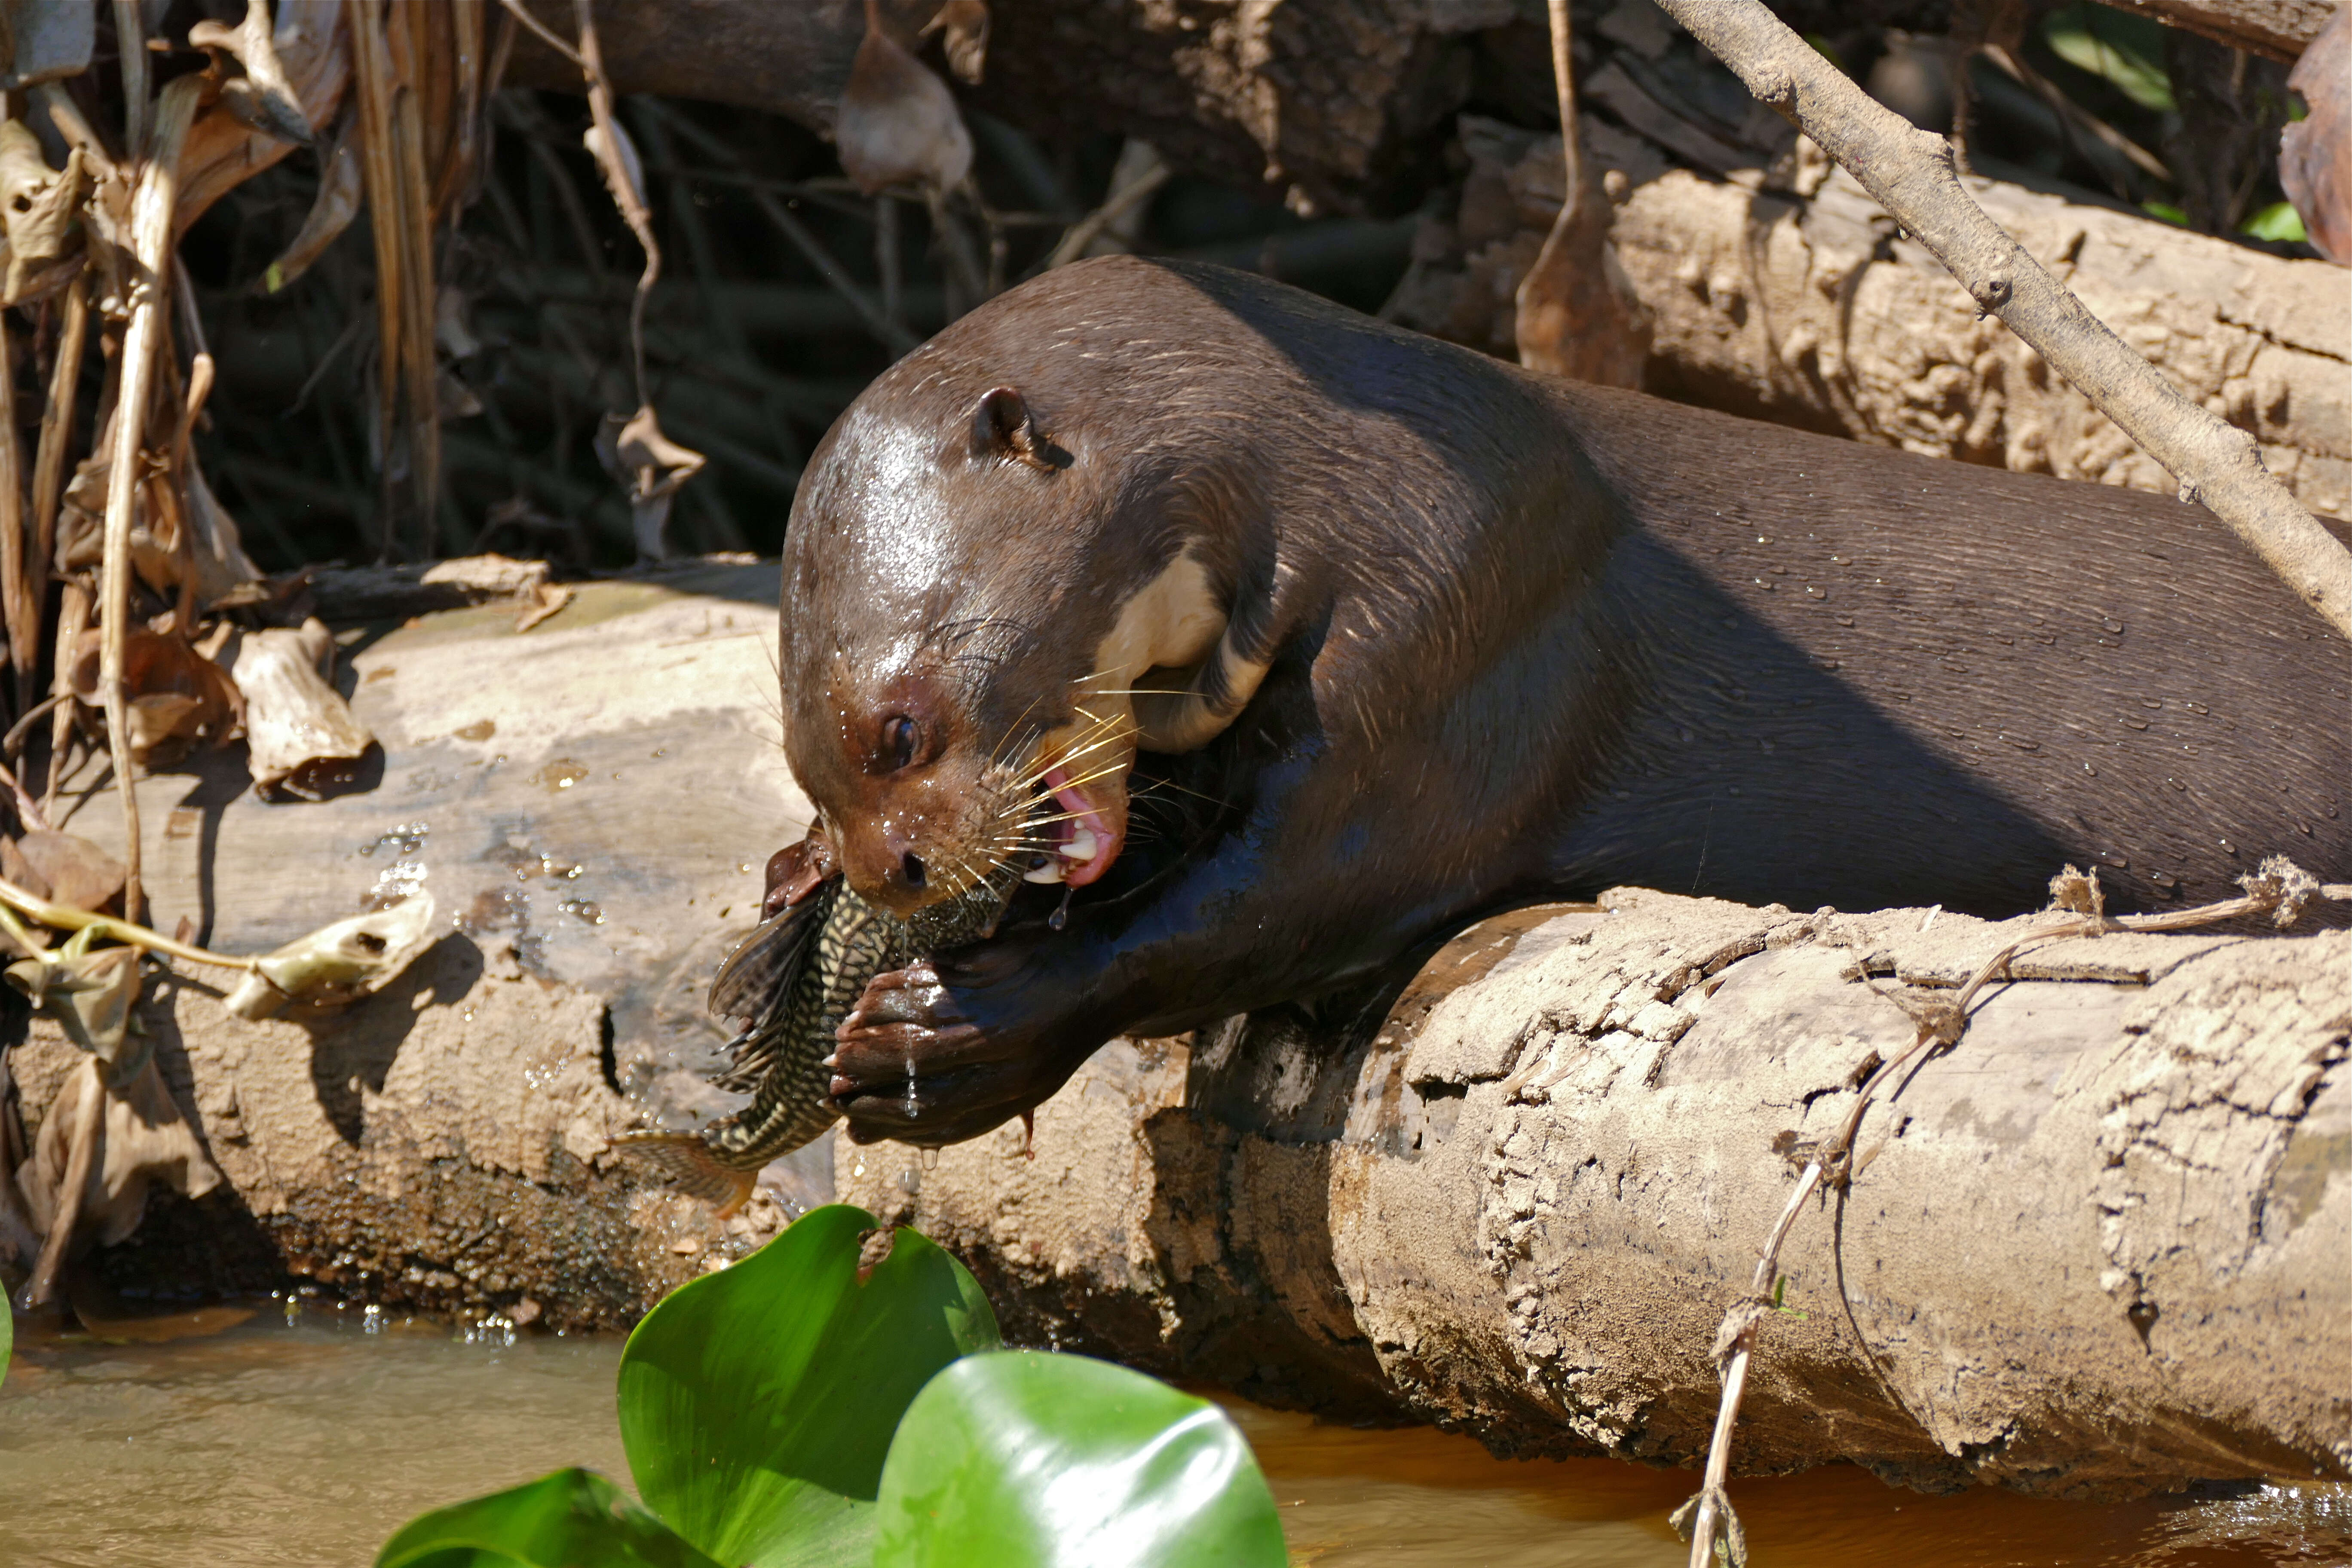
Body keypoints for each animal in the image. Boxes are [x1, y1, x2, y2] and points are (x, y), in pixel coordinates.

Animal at [766, 255, 2333, 1142]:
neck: (1341, 475)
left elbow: (1286, 900)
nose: (890, 870)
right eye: (810, 771)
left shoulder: (1458, 611)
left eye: (896, 728)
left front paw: (951, 1036)